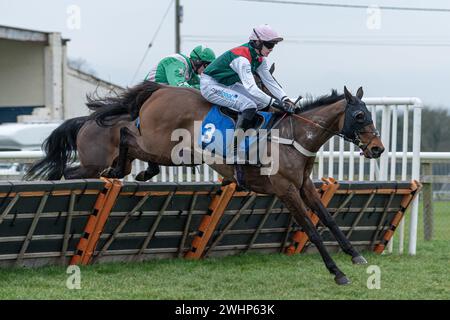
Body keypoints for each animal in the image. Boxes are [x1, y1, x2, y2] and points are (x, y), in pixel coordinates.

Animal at [92, 80, 386, 284]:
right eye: (359, 116)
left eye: (370, 114)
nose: (377, 148)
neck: (295, 137)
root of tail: (160, 90)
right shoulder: (286, 190)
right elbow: (311, 229)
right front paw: (337, 272)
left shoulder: (305, 185)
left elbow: (328, 219)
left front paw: (355, 254)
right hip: (159, 142)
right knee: (125, 133)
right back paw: (117, 169)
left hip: (168, 150)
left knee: (134, 140)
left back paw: (142, 171)